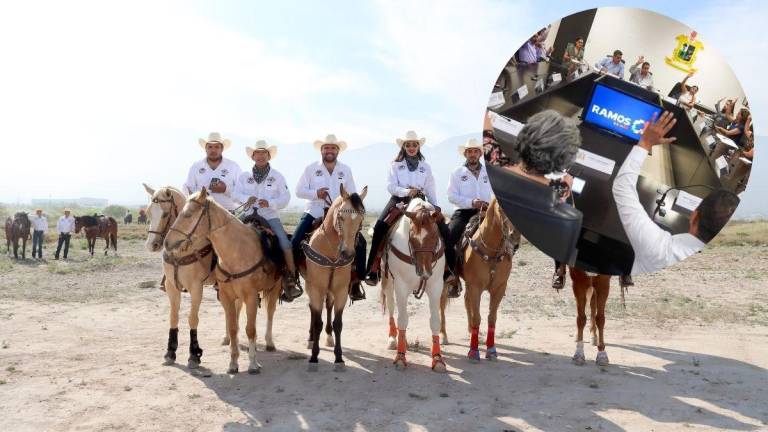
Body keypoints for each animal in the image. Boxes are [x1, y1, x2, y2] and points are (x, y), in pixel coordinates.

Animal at [144, 184, 218, 370]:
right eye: (148, 213)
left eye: (164, 213)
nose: (151, 245)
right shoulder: (171, 287)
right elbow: (173, 317)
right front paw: (170, 352)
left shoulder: (196, 288)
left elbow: (192, 318)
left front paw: (194, 354)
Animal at [164, 188, 282, 374]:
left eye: (188, 214)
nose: (166, 243)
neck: (237, 252)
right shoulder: (227, 296)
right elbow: (234, 327)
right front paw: (233, 363)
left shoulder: (251, 296)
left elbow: (251, 329)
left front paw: (253, 363)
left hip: (275, 288)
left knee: (270, 312)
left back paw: (269, 342)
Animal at [302, 183, 368, 372]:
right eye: (341, 217)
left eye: (360, 219)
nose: (348, 253)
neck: (331, 251)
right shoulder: (316, 288)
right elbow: (317, 321)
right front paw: (314, 357)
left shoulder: (340, 291)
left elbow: (338, 323)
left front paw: (338, 358)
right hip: (310, 287)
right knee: (312, 309)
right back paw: (311, 339)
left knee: (328, 306)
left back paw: (329, 337)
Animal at [380, 198, 448, 372]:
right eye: (412, 238)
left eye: (435, 235)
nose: (424, 271)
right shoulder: (401, 286)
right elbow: (403, 319)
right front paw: (400, 357)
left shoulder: (436, 286)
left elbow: (435, 321)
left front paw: (437, 359)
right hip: (388, 282)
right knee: (392, 308)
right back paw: (393, 338)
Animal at [440, 197, 520, 362]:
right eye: (501, 207)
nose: (514, 237)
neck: (492, 252)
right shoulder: (475, 287)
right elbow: (477, 317)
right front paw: (473, 351)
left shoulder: (499, 288)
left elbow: (492, 318)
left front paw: (491, 350)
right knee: (442, 305)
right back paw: (443, 335)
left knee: (466, 300)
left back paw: (471, 331)